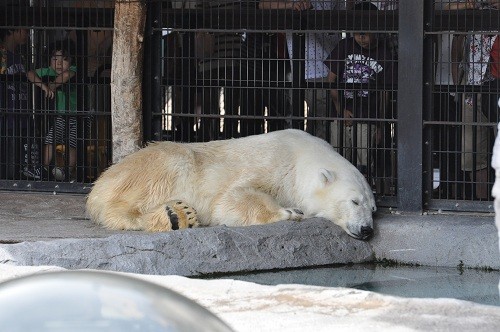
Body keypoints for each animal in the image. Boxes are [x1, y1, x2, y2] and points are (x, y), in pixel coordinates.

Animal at [85, 128, 376, 240]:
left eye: (372, 208)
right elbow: (230, 199)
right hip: (159, 165)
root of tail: (100, 181)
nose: (367, 230)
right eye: (354, 201)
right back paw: (174, 216)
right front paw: (289, 212)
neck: (300, 157)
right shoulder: (274, 163)